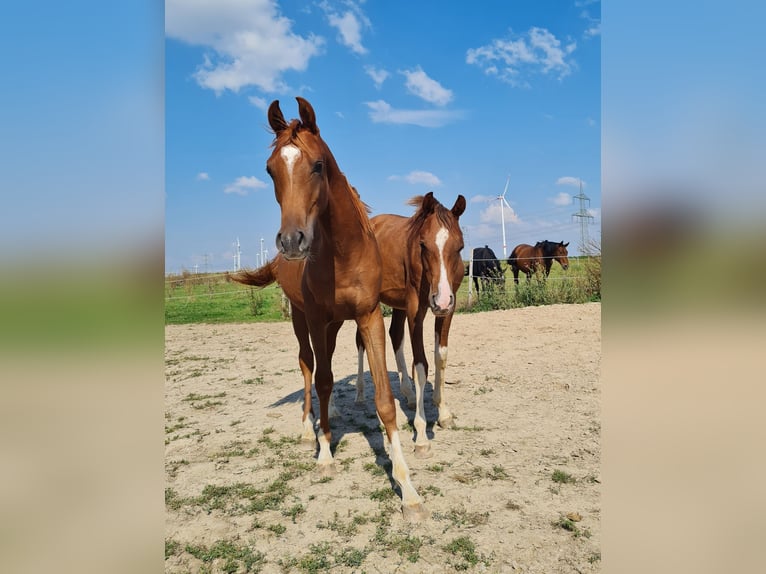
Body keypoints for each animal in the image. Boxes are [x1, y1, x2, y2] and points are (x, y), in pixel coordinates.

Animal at [249, 98, 426, 520]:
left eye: (317, 165)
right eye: (270, 170)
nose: (291, 241)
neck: (342, 253)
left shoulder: (368, 316)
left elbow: (385, 400)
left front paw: (408, 489)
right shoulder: (315, 318)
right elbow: (324, 380)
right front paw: (326, 452)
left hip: (332, 326)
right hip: (303, 321)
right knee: (309, 367)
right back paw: (307, 429)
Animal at [356, 194, 468, 460]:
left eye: (460, 247)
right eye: (423, 245)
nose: (441, 300)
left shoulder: (447, 309)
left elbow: (440, 357)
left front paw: (443, 412)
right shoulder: (416, 308)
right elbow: (421, 364)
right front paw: (422, 436)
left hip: (398, 304)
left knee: (395, 335)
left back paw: (407, 394)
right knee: (361, 343)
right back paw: (361, 395)